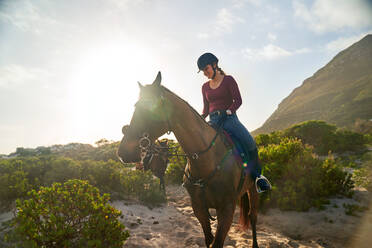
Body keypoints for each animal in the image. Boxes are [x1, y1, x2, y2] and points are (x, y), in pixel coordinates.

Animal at [118, 71, 258, 248]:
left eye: (150, 108)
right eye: (136, 106)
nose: (123, 152)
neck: (207, 160)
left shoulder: (226, 209)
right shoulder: (199, 208)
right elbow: (208, 240)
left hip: (253, 189)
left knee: (253, 217)